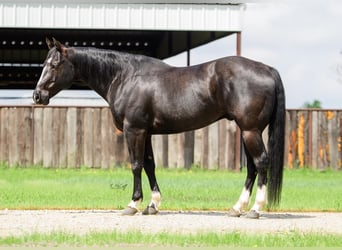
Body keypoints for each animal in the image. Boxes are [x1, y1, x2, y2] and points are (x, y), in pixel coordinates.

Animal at [33, 37, 284, 219]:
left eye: (54, 64)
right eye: (44, 64)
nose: (37, 95)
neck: (125, 77)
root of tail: (268, 69)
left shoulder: (134, 130)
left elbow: (136, 165)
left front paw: (133, 204)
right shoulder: (146, 133)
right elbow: (149, 166)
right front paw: (152, 205)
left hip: (251, 131)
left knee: (261, 162)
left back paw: (255, 209)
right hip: (247, 131)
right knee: (251, 167)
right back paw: (237, 208)